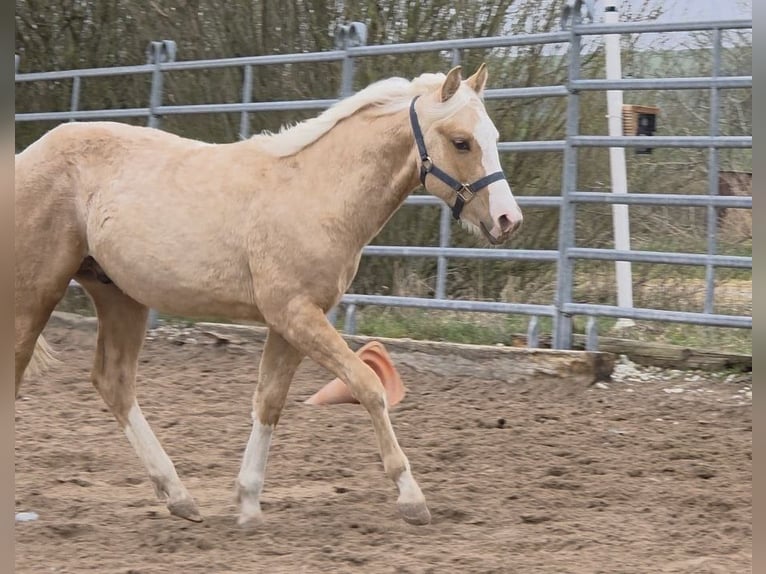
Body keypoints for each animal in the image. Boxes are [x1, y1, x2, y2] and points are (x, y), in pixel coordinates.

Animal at [15, 64, 523, 527]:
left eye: (493, 136)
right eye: (461, 141)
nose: (508, 220)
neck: (317, 194)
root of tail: (27, 157)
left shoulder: (292, 321)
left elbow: (269, 401)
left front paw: (248, 503)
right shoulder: (296, 314)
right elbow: (367, 384)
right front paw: (411, 498)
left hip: (119, 296)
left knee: (113, 382)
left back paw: (179, 497)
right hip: (37, 292)